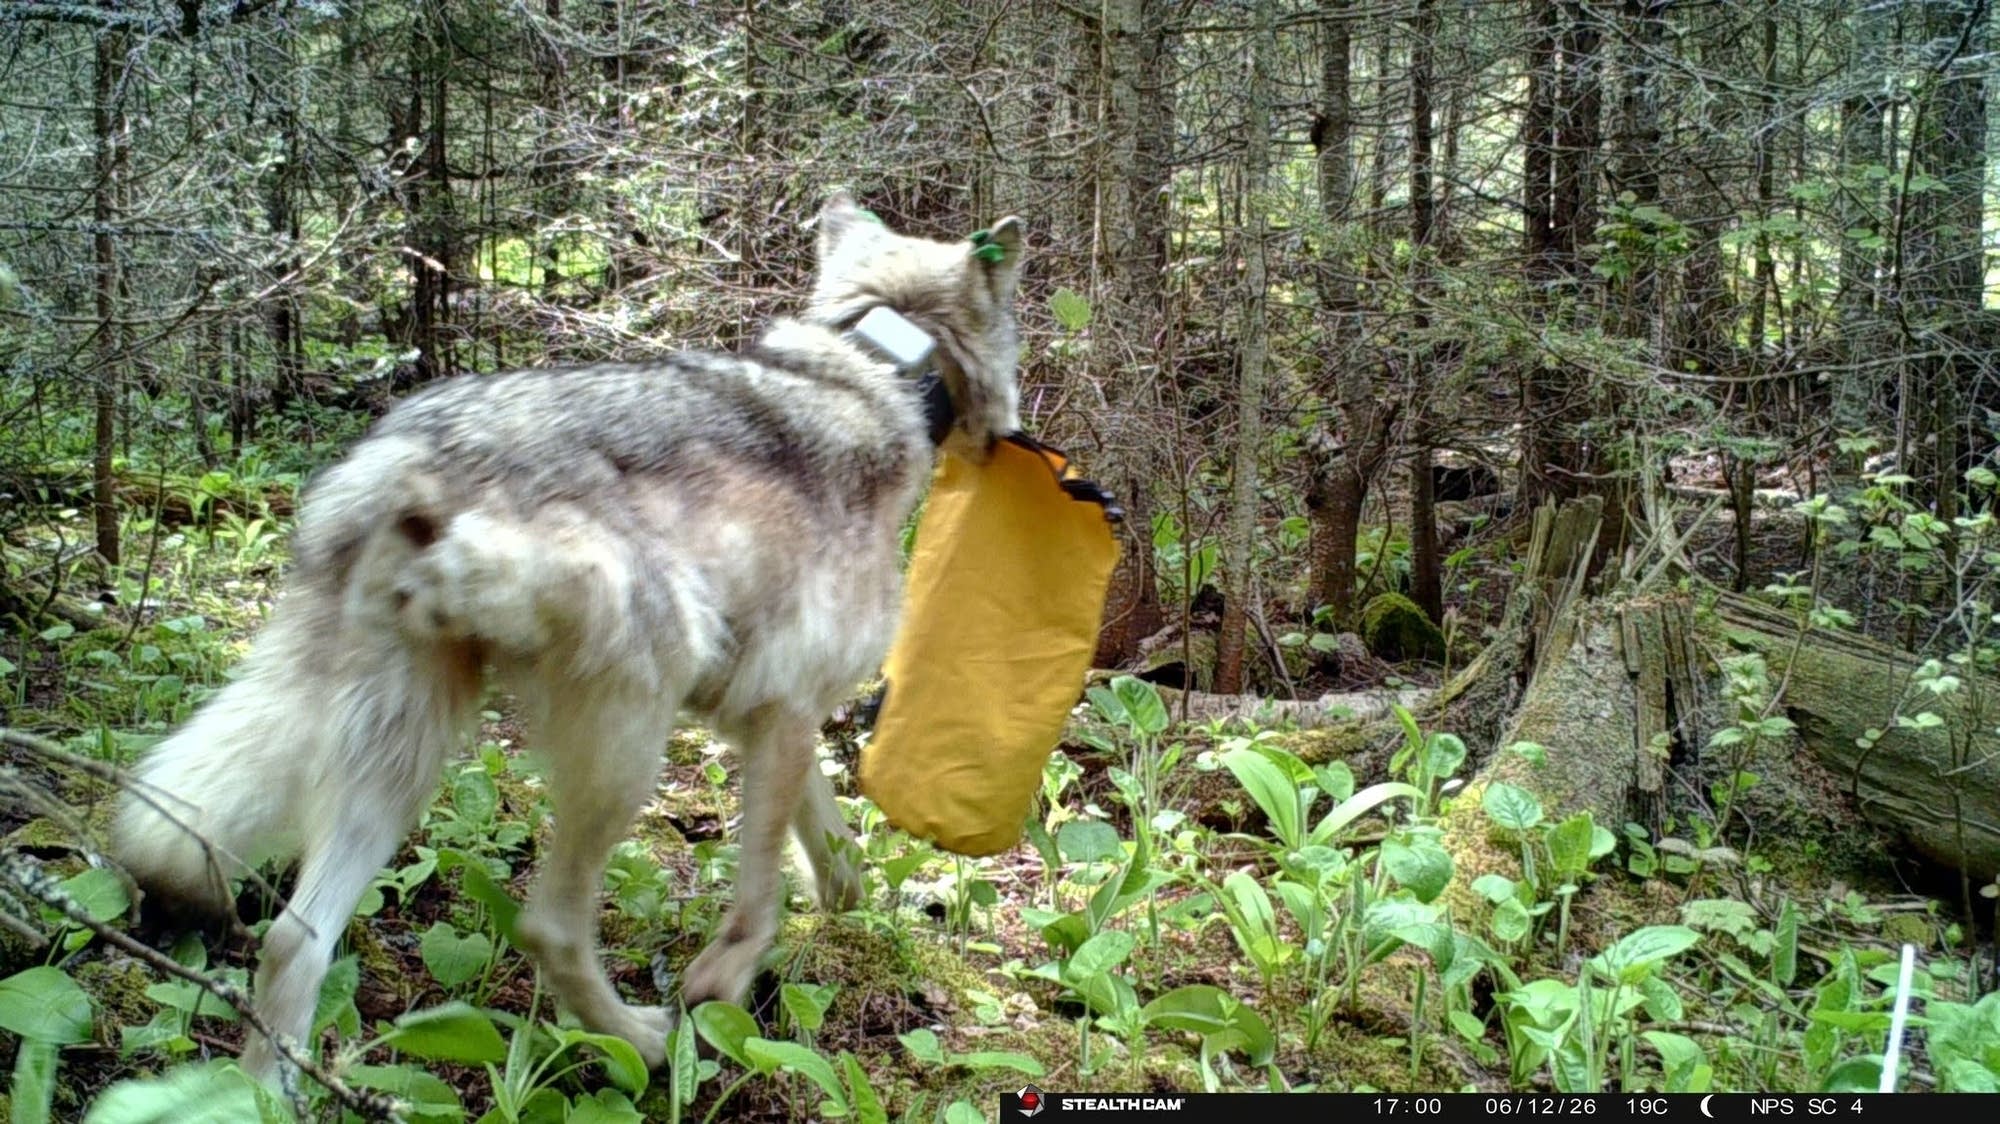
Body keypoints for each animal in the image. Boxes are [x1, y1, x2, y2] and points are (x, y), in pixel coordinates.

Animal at [109, 194, 1027, 1079]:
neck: (879, 365)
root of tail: (402, 457)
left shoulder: (769, 720)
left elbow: (834, 860)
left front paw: (852, 910)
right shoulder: (785, 713)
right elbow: (761, 899)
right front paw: (719, 987)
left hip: (402, 760)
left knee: (292, 939)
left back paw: (267, 1091)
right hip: (624, 744)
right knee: (546, 926)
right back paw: (642, 1044)